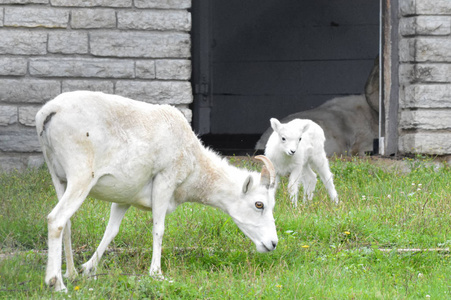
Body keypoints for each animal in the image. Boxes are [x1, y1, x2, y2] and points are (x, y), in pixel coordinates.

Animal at [35, 91, 278, 290]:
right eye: (259, 204)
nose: (273, 244)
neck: (194, 164)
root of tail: (48, 112)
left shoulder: (124, 199)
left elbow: (111, 231)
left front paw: (88, 269)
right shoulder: (165, 180)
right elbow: (159, 229)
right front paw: (157, 274)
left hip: (59, 177)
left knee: (66, 224)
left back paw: (70, 274)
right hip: (81, 178)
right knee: (56, 219)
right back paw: (56, 284)